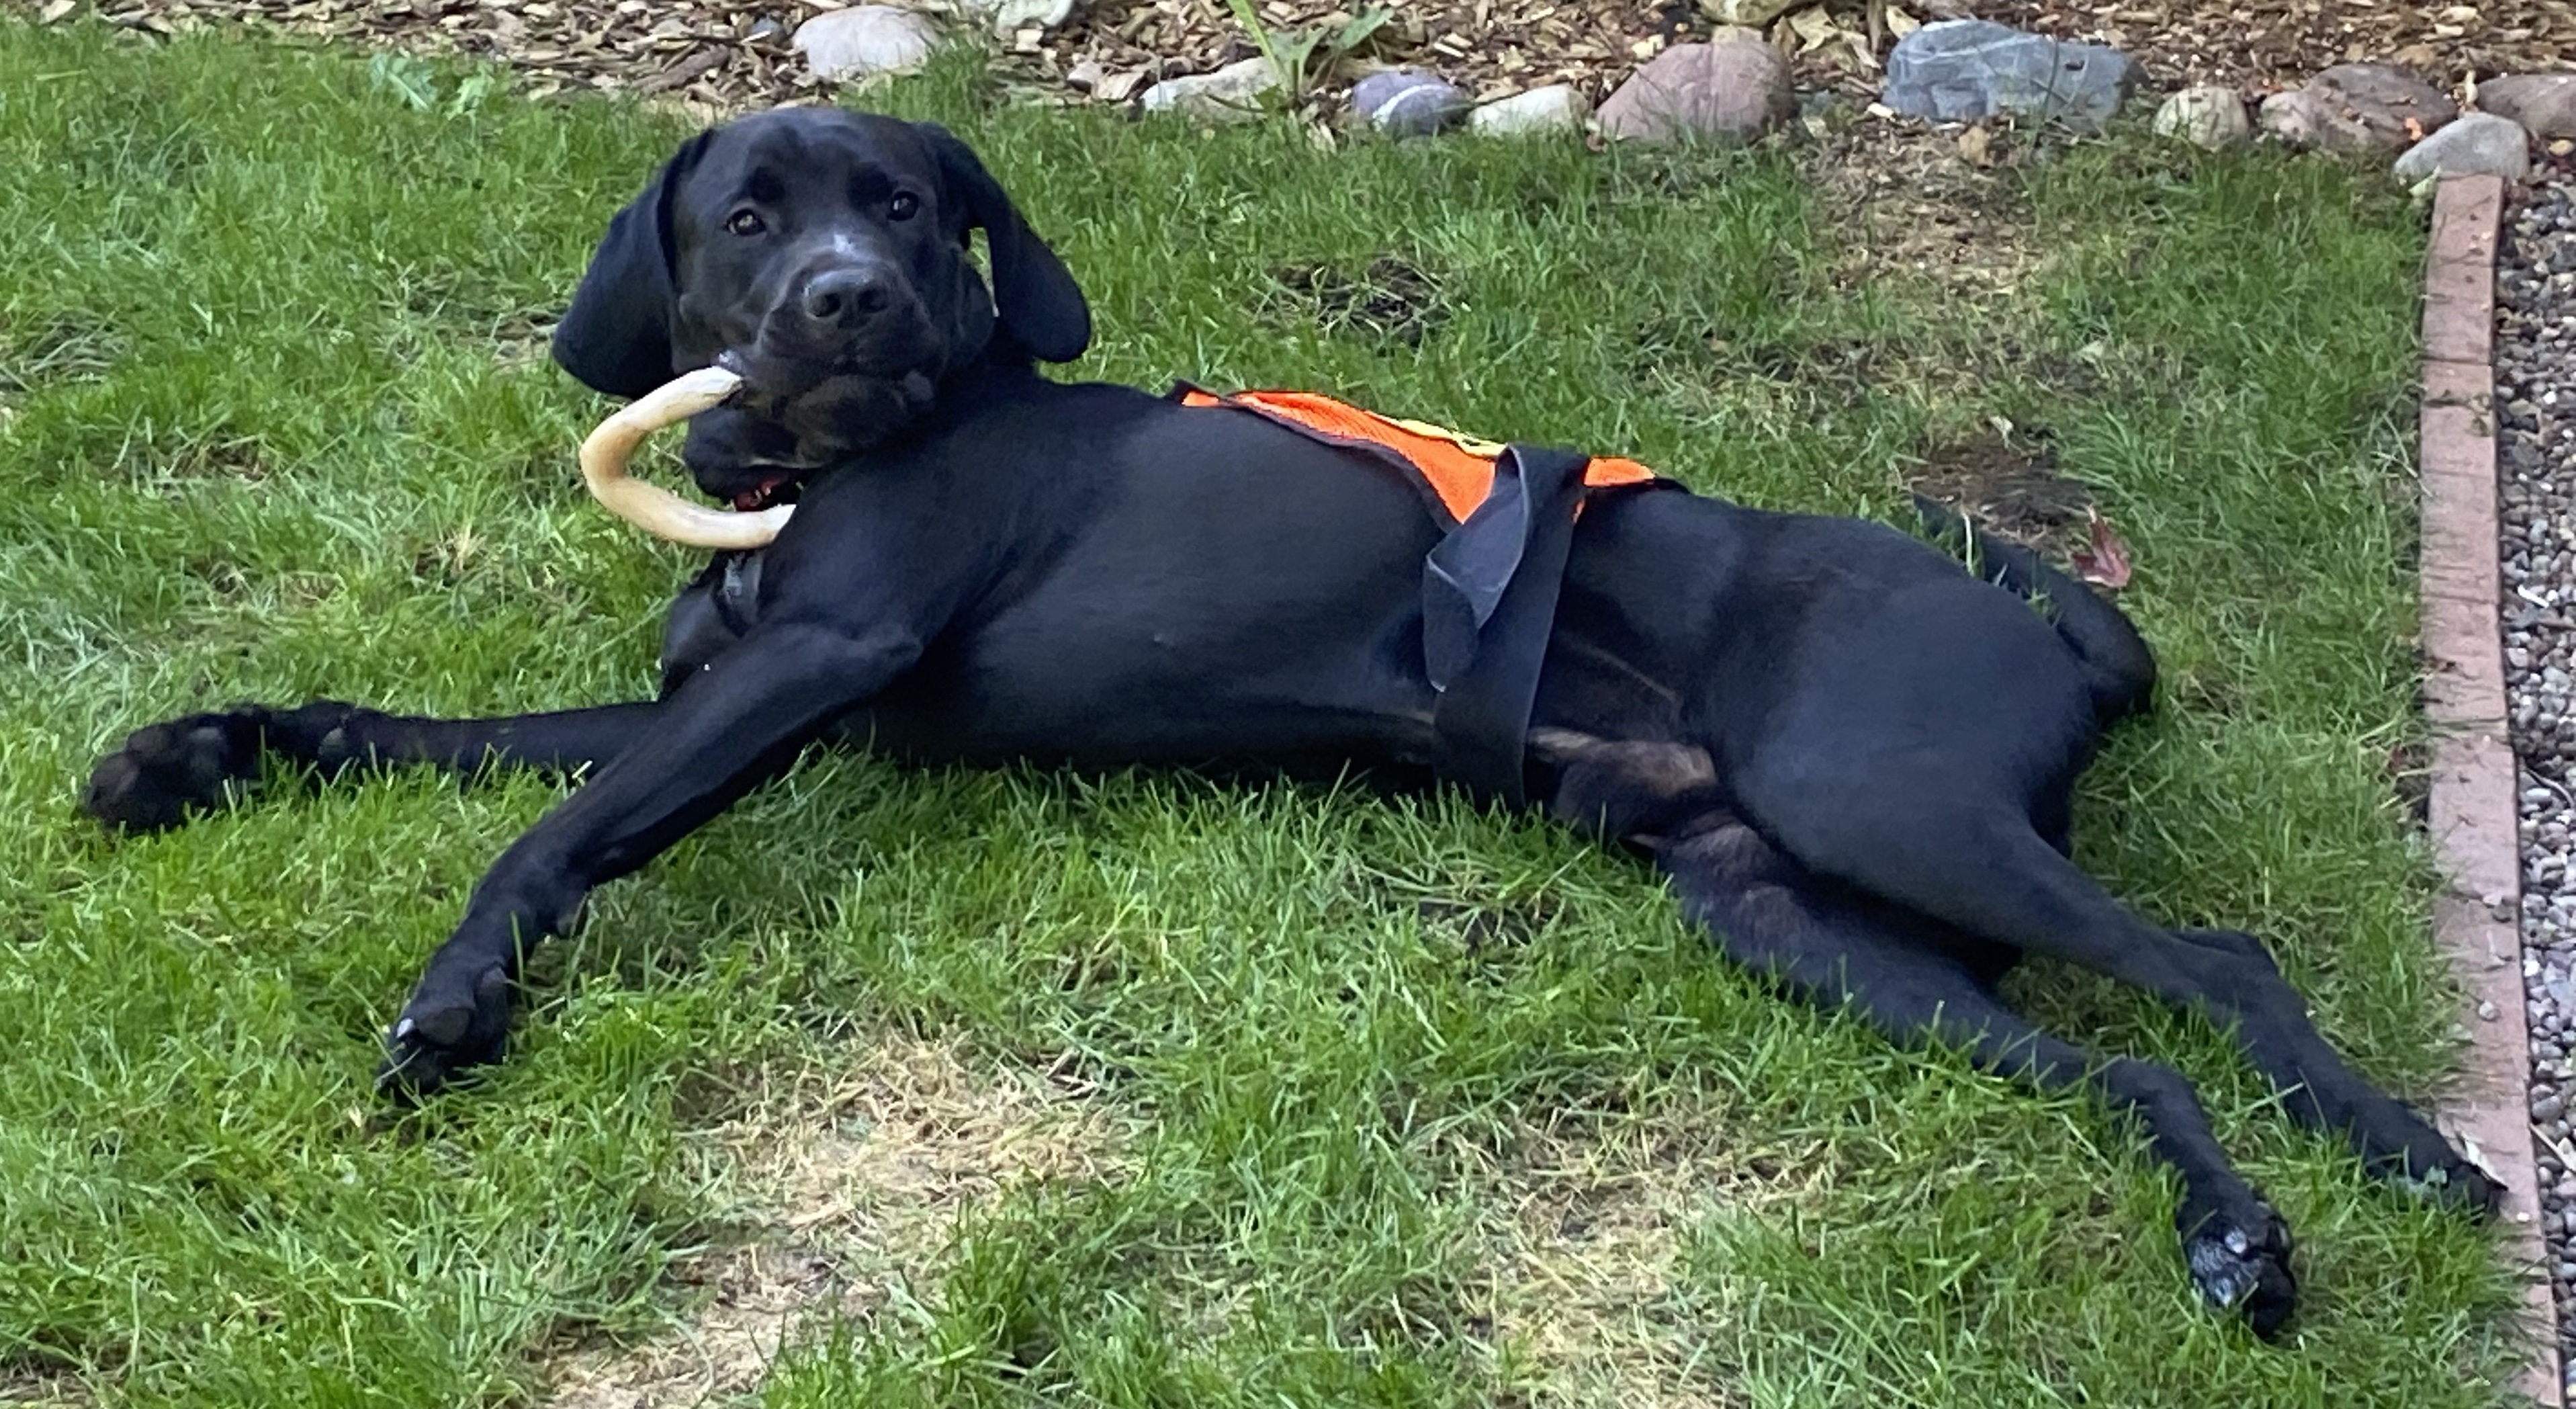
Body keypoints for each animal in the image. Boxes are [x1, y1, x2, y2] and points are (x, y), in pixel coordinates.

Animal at [80, 108, 2493, 1339]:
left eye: (902, 205)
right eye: (747, 215)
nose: (849, 303)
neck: (819, 466)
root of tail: (2066, 642)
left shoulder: (814, 668)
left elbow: (546, 828)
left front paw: (455, 994)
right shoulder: (726, 684)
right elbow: (427, 730)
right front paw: (189, 755)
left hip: (1874, 793)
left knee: (2214, 966)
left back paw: (2400, 1152)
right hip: (1776, 908)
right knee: (2113, 1058)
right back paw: (2234, 1238)